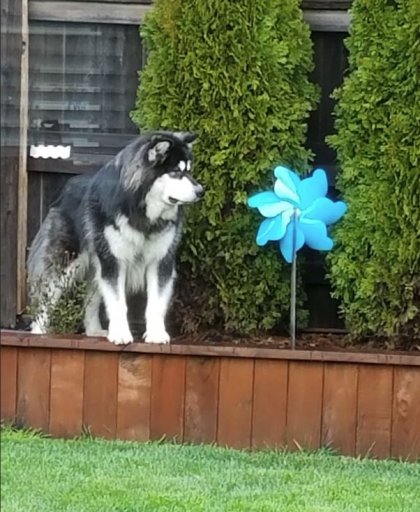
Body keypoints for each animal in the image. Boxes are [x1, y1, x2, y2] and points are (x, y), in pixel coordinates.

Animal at [27, 130, 204, 344]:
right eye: (176, 172)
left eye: (189, 171)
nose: (201, 191)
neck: (142, 213)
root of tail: (66, 189)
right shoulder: (114, 260)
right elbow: (118, 303)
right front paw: (120, 334)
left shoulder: (161, 260)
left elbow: (156, 303)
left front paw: (156, 334)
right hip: (65, 265)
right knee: (45, 301)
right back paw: (40, 333)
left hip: (97, 267)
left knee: (90, 301)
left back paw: (93, 331)